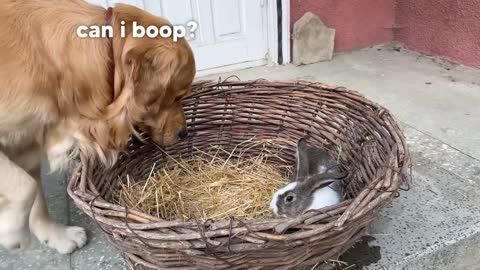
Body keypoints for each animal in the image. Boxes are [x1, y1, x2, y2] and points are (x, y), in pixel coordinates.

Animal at [0, 0, 195, 253]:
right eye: (177, 97)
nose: (184, 133)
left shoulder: (27, 139)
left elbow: (34, 191)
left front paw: (55, 235)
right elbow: (25, 185)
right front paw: (13, 234)